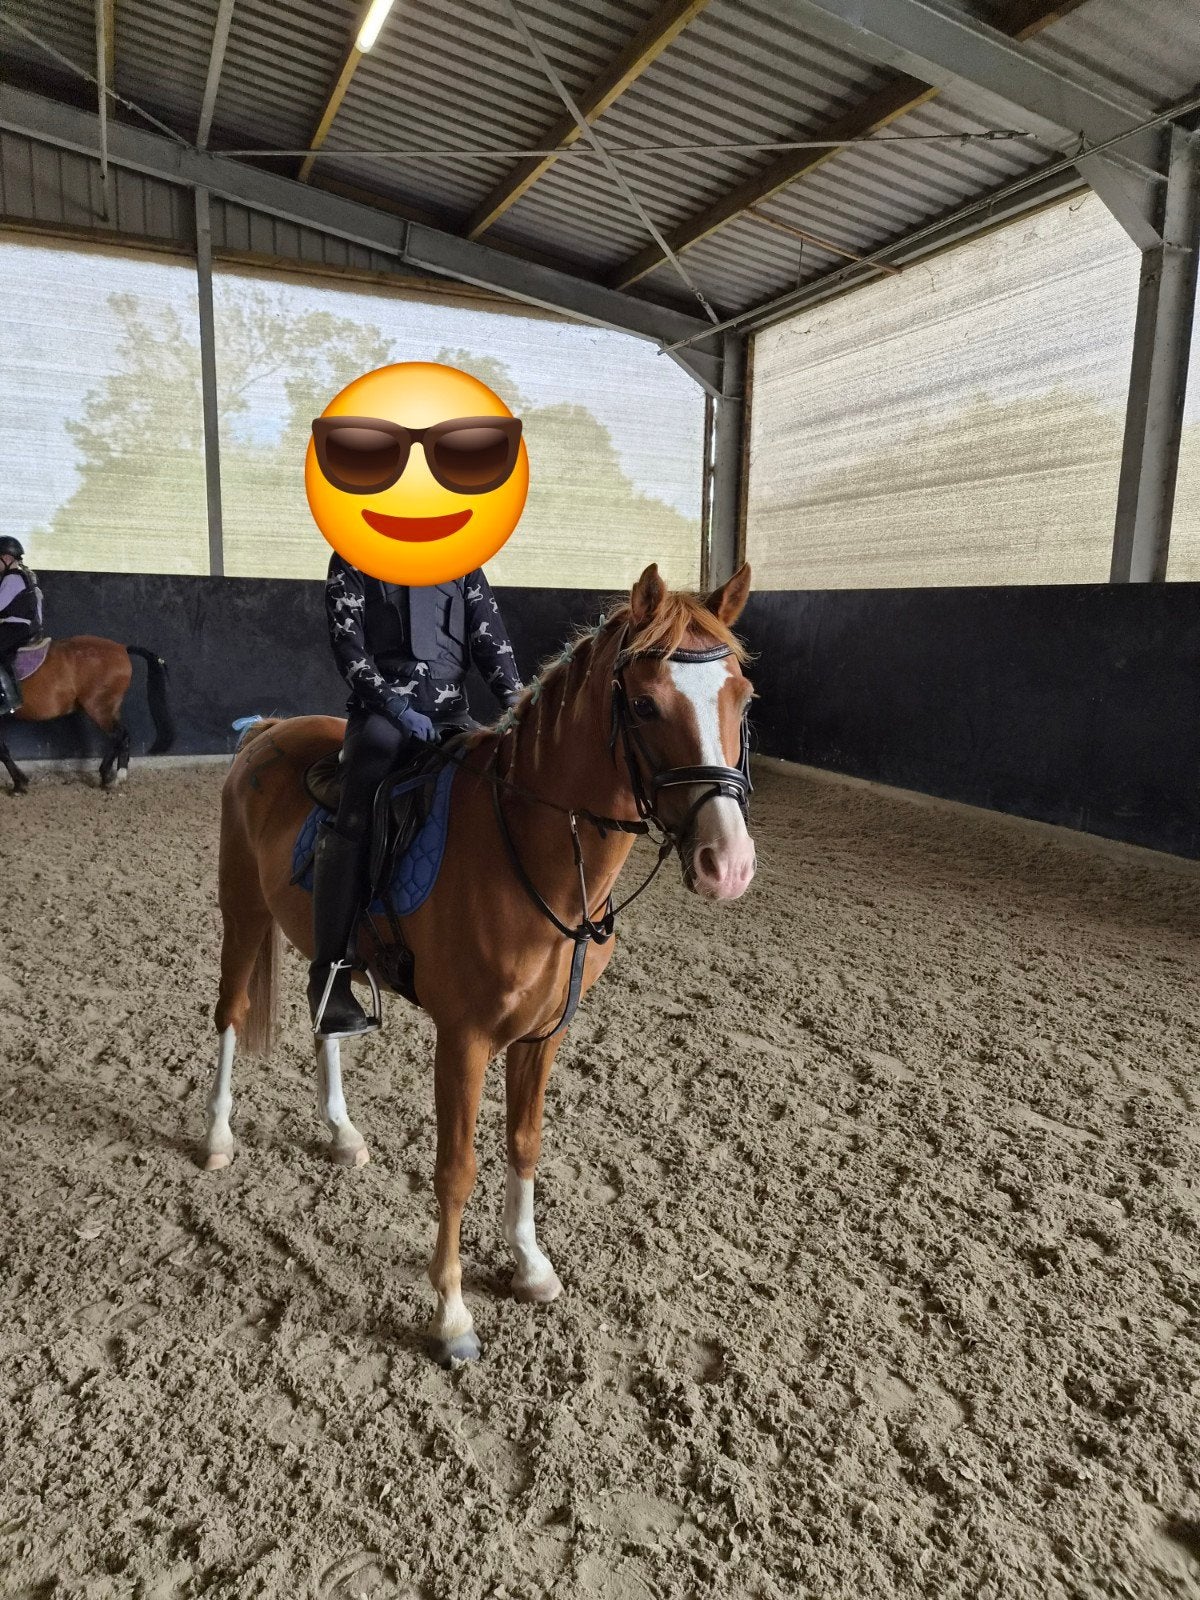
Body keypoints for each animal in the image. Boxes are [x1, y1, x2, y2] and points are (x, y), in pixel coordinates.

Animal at [0, 636, 175, 794]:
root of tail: (121, 648)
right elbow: (4, 751)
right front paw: (21, 781)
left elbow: (3, 752)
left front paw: (18, 785)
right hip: (109, 708)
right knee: (118, 738)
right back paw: (107, 776)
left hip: (98, 707)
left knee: (120, 736)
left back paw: (115, 778)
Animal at [207, 561, 757, 1363]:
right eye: (646, 705)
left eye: (742, 700)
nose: (729, 865)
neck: (527, 848)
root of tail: (268, 732)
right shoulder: (462, 1039)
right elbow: (457, 1169)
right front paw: (452, 1314)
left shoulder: (544, 1034)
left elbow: (524, 1144)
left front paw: (529, 1265)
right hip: (243, 911)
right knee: (230, 1013)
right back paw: (216, 1137)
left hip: (317, 937)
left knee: (326, 1016)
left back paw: (341, 1132)